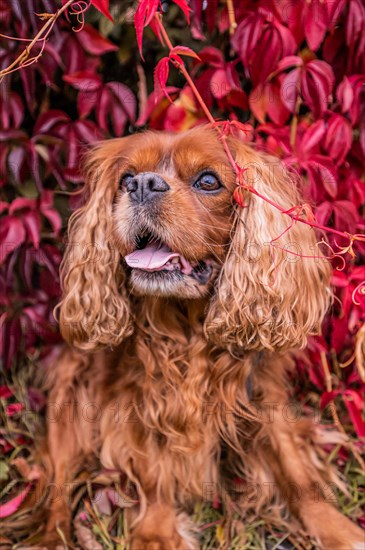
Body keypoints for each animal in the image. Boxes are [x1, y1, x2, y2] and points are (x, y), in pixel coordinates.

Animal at [38, 126, 362, 550]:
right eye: (126, 180)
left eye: (208, 181)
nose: (142, 185)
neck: (185, 325)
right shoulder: (140, 396)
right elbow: (154, 470)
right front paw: (156, 534)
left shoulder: (262, 393)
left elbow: (295, 472)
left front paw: (337, 530)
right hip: (70, 389)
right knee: (57, 483)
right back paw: (50, 536)